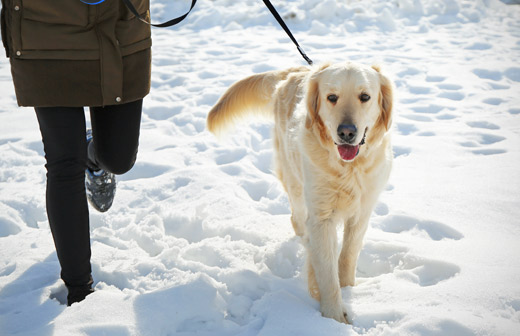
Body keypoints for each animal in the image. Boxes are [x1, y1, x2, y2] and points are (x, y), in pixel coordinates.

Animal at [205, 61, 392, 324]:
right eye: (332, 97)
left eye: (365, 97)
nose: (346, 132)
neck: (347, 168)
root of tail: (297, 70)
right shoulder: (321, 217)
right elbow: (327, 271)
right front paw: (334, 315)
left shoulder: (362, 212)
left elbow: (348, 256)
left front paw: (347, 288)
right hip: (294, 179)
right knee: (297, 219)